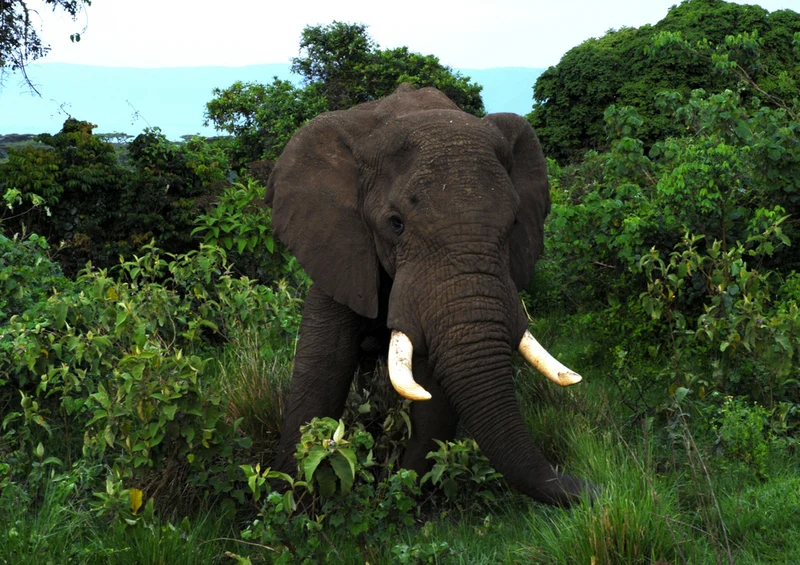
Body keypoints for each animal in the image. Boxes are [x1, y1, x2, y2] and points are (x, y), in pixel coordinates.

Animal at [265, 83, 590, 506]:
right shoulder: (337, 244)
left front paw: (402, 488)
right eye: (396, 224)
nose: (595, 488)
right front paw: (287, 496)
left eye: (516, 221)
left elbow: (434, 389)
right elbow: (324, 365)